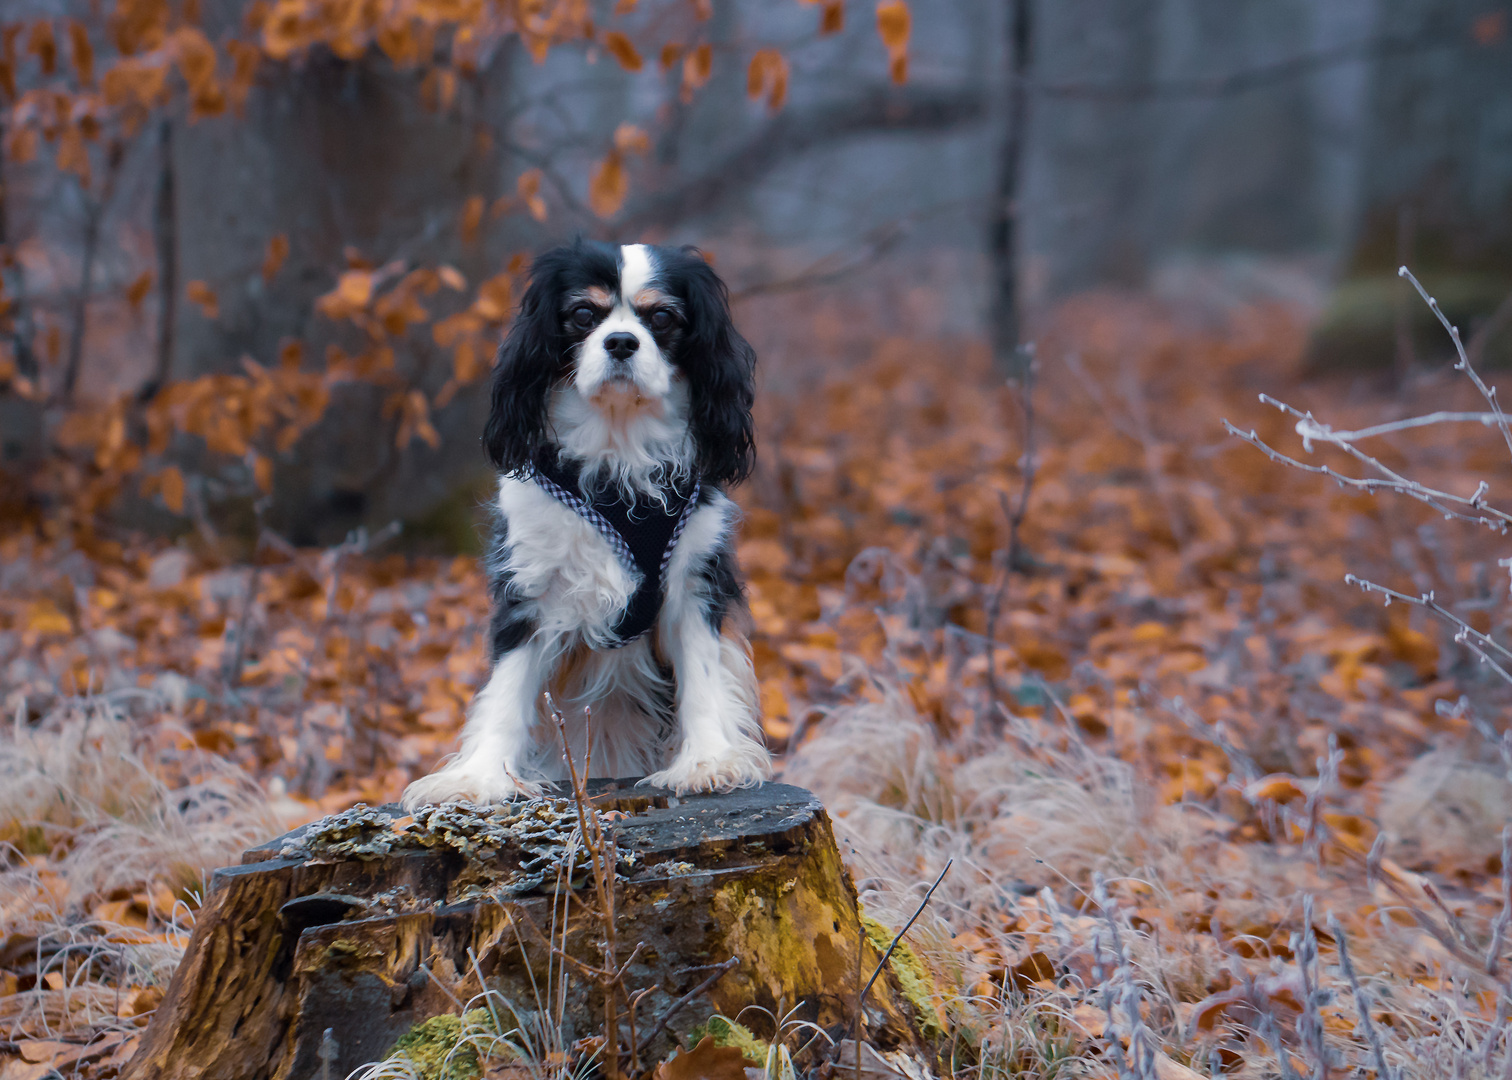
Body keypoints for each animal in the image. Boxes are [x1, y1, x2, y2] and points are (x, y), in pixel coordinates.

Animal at [402, 237, 768, 810]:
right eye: (582, 315)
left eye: (662, 317)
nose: (620, 342)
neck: (618, 450)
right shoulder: (530, 588)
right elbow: (507, 689)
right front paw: (479, 778)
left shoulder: (694, 583)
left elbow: (703, 676)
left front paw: (707, 761)